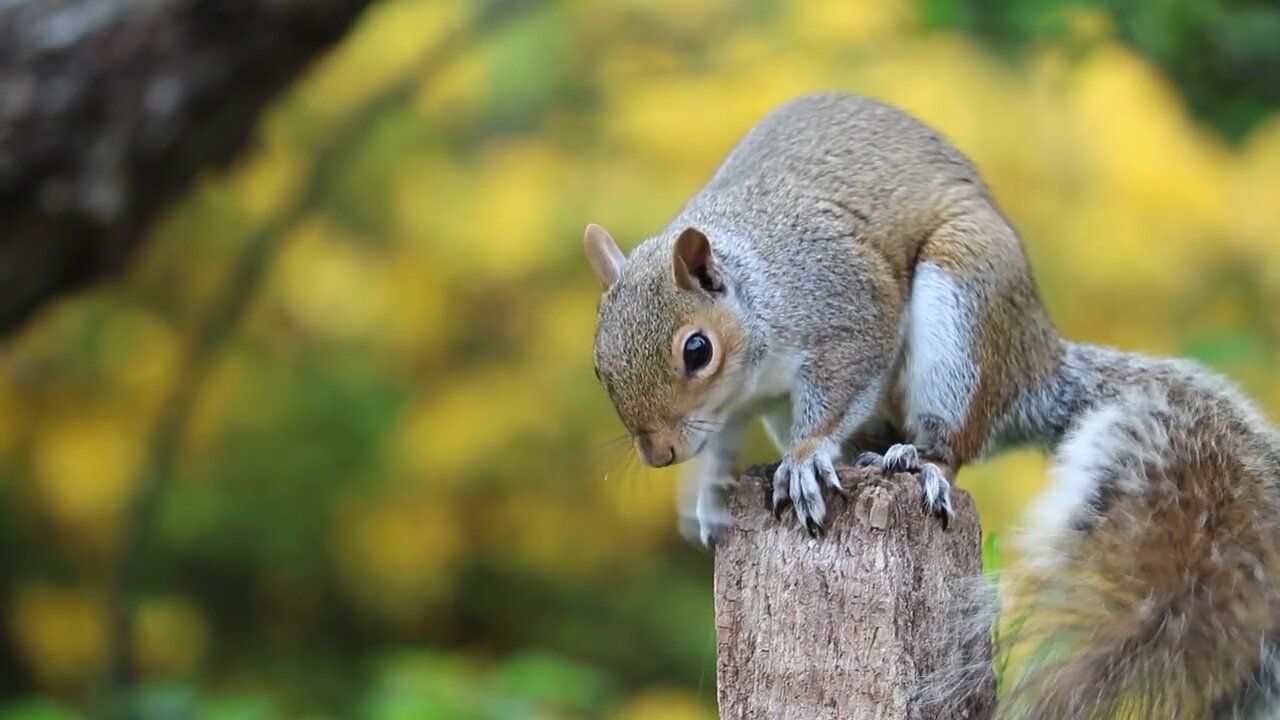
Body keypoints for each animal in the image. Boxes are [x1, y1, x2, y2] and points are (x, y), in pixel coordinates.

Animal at [583, 92, 1280, 712]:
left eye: (697, 350)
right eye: (597, 362)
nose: (658, 454)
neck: (757, 289)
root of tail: (1033, 366)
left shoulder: (848, 303)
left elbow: (843, 382)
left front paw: (805, 460)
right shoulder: (742, 404)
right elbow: (723, 440)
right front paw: (707, 495)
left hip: (962, 314)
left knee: (954, 442)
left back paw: (919, 461)